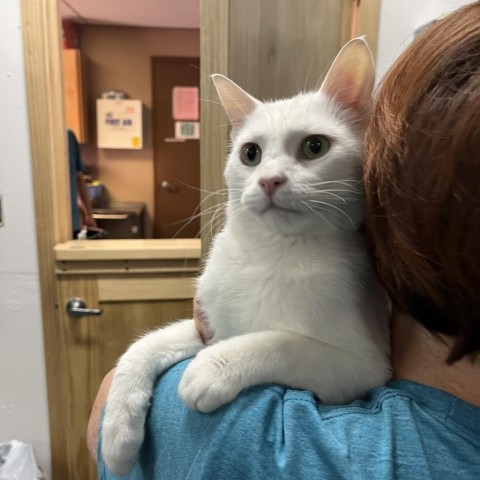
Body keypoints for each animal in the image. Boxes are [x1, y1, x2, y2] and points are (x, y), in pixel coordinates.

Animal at [101, 38, 390, 476]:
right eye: (250, 154)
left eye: (315, 146)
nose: (269, 180)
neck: (271, 253)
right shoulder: (210, 328)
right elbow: (144, 346)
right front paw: (118, 434)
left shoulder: (365, 367)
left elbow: (285, 341)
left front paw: (212, 368)